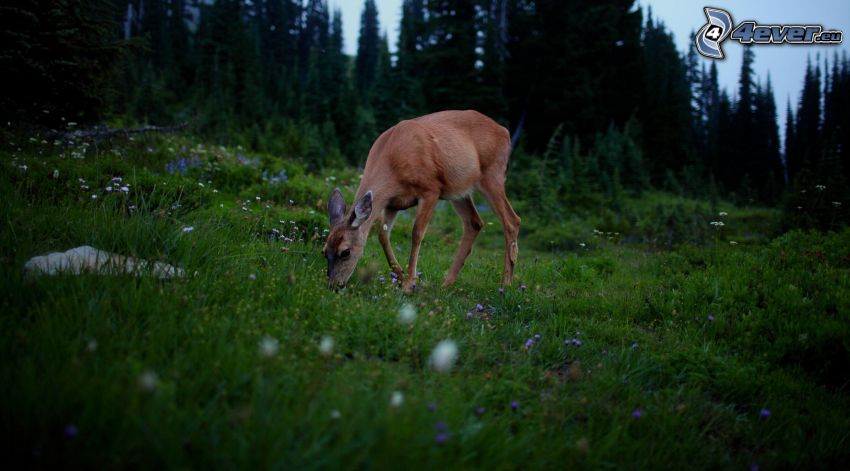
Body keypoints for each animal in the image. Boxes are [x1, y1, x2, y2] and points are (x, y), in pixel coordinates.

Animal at [322, 111, 516, 296]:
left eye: (345, 252)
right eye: (324, 251)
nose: (333, 286)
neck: (392, 162)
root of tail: (505, 131)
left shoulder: (431, 189)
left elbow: (416, 234)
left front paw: (409, 284)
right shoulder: (392, 203)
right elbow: (383, 236)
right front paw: (401, 277)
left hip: (492, 174)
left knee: (512, 220)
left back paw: (505, 285)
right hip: (459, 190)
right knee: (474, 222)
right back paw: (446, 283)